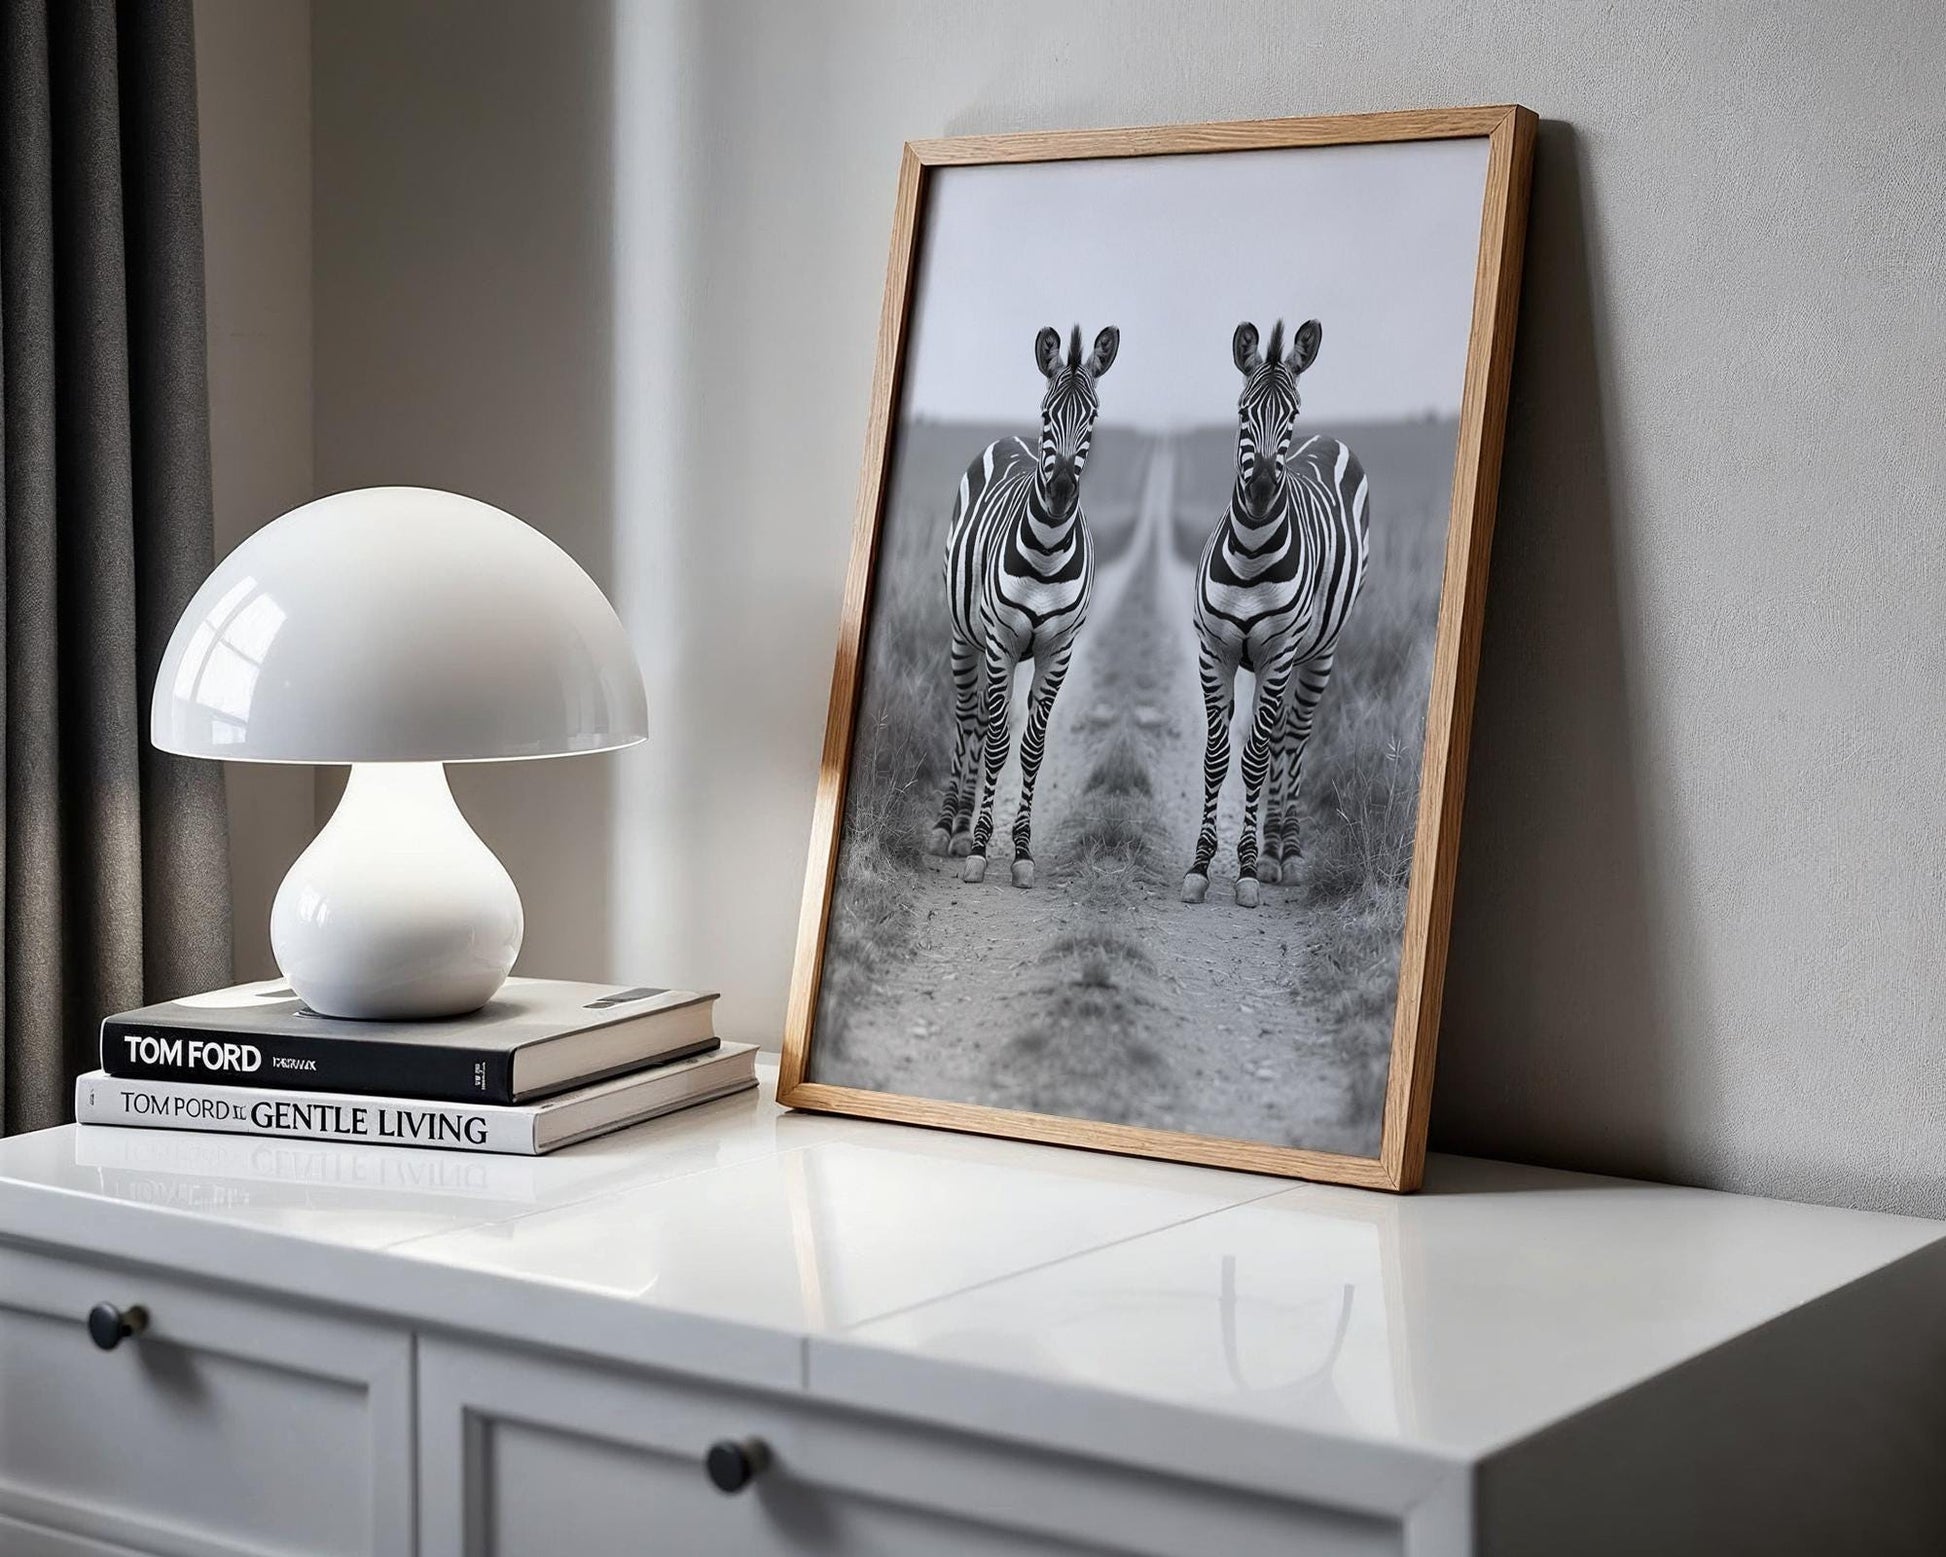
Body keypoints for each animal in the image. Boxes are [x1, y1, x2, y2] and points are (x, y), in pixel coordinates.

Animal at [927, 323, 1120, 887]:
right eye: (1046, 412)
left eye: (1092, 417)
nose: (1059, 493)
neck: (1048, 551)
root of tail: (1006, 440)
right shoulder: (1002, 641)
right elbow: (995, 740)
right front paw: (979, 847)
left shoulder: (1059, 650)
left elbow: (1031, 748)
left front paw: (1020, 850)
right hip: (964, 638)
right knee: (968, 718)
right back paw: (951, 825)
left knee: (983, 719)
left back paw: (963, 824)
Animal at [1183, 318, 1370, 908]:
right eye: (1243, 410)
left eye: (1292, 412)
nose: (1264, 487)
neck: (1250, 554)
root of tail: (1328, 440)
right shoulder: (1214, 652)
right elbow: (1219, 756)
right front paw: (1201, 863)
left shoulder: (1277, 654)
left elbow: (1256, 757)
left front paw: (1245, 867)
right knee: (1278, 735)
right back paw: (1269, 849)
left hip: (1315, 655)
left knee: (1293, 737)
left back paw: (1282, 852)